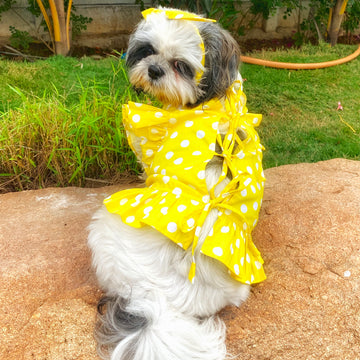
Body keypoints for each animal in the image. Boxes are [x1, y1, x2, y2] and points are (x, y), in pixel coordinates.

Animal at [88, 6, 266, 360]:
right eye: (148, 50)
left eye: (181, 66)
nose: (154, 70)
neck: (217, 99)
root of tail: (161, 302)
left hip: (102, 227)